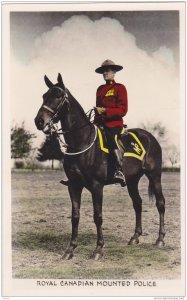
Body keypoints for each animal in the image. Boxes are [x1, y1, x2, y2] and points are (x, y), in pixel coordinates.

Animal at [34, 73, 165, 260]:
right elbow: (75, 216)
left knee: (160, 203)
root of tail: (150, 137)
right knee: (137, 203)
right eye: (44, 96)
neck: (82, 141)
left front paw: (98, 249)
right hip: (132, 180)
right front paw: (70, 249)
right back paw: (135, 237)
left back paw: (160, 239)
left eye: (58, 96)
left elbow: (98, 216)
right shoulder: (74, 185)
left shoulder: (97, 186)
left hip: (154, 175)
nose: (39, 121)